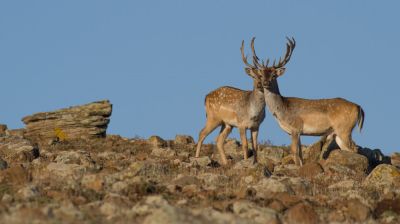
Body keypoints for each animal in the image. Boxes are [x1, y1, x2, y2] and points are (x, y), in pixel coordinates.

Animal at [241, 37, 366, 166]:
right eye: (261, 75)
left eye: (274, 75)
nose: (265, 83)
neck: (283, 110)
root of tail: (359, 107)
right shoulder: (296, 132)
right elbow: (300, 154)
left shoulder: (295, 128)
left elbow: (294, 152)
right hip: (337, 133)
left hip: (345, 128)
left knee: (354, 148)